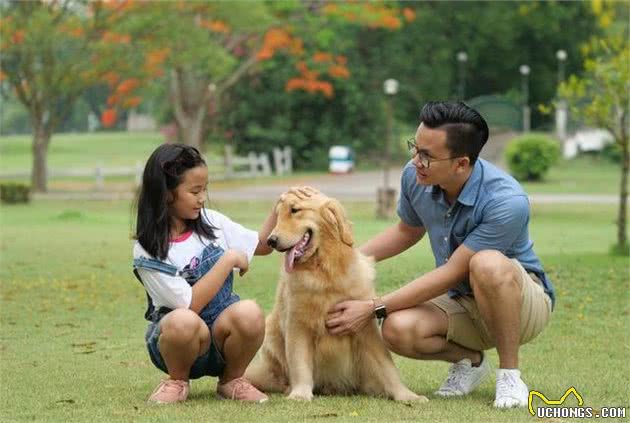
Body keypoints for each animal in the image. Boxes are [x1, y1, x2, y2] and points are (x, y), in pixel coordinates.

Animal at [246, 190, 430, 402]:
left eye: (295, 210)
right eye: (278, 214)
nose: (271, 240)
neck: (324, 272)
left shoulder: (366, 327)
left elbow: (387, 365)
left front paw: (406, 395)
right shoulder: (297, 324)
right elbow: (299, 363)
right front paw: (300, 394)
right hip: (270, 331)